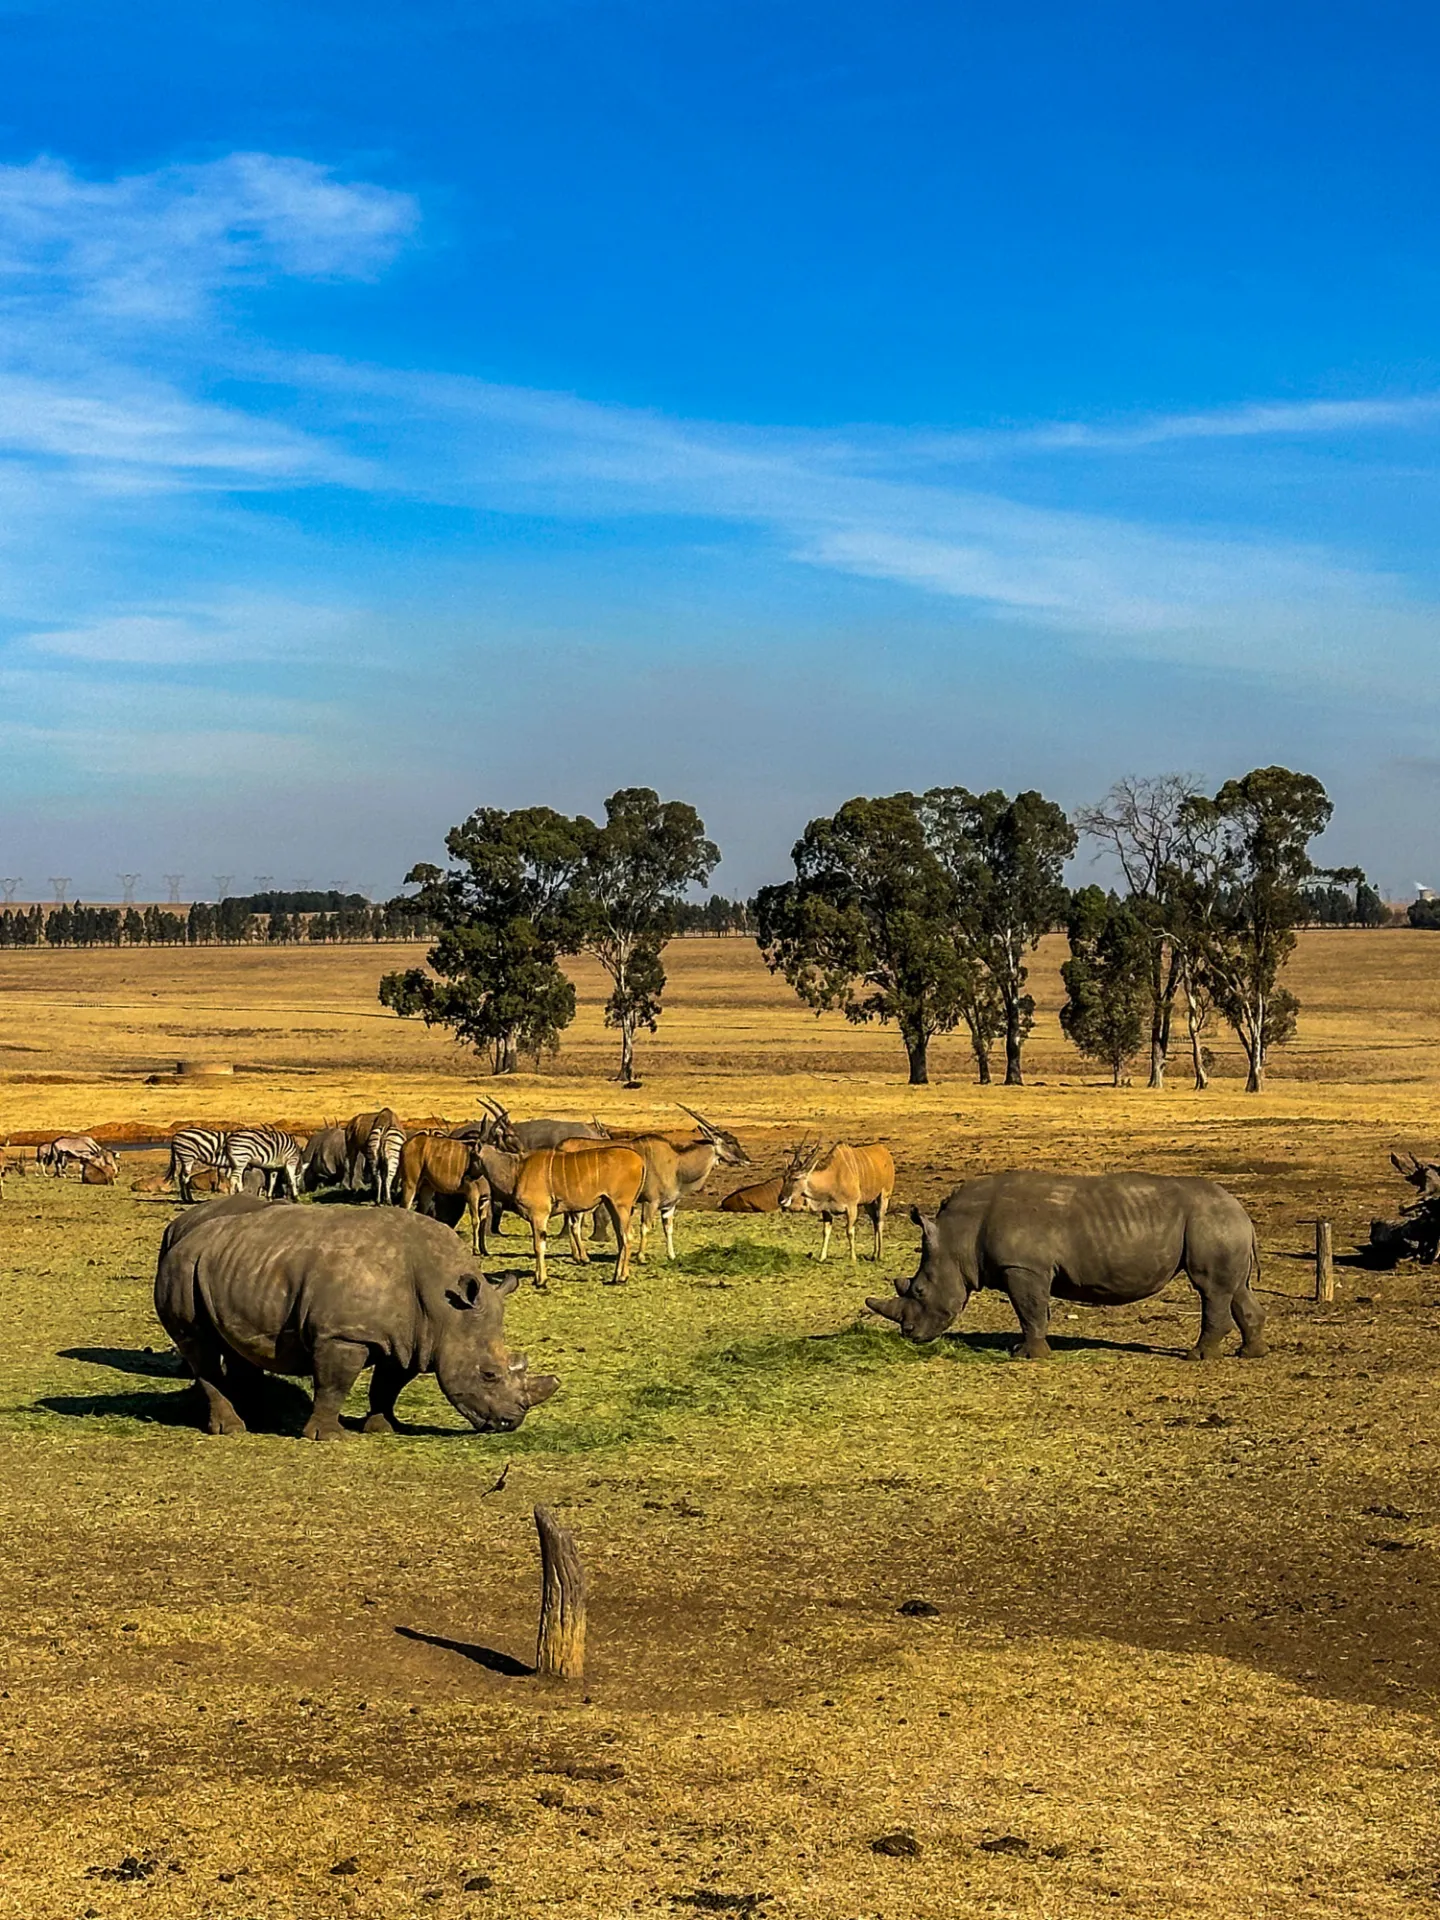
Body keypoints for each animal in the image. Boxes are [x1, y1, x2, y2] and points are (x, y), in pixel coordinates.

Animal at [154, 1195, 558, 1439]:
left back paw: (258, 1421)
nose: (510, 1422)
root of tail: (182, 1233)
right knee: (199, 1345)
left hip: (230, 1267)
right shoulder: (345, 1335)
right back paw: (233, 1429)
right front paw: (328, 1436)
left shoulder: (413, 1338)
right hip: (183, 1268)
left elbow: (388, 1386)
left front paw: (383, 1428)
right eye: (488, 1375)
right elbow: (334, 1385)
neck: (446, 1308)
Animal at [867, 1171, 1267, 1362]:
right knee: (1236, 1289)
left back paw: (1196, 1357)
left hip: (1210, 1222)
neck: (957, 1236)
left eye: (919, 1290)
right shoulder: (1032, 1269)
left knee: (1211, 1288)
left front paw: (1026, 1356)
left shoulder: (1024, 1267)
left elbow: (1028, 1311)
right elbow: (1036, 1311)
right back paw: (1250, 1354)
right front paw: (1030, 1349)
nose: (909, 1335)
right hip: (1221, 1224)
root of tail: (1243, 1212)